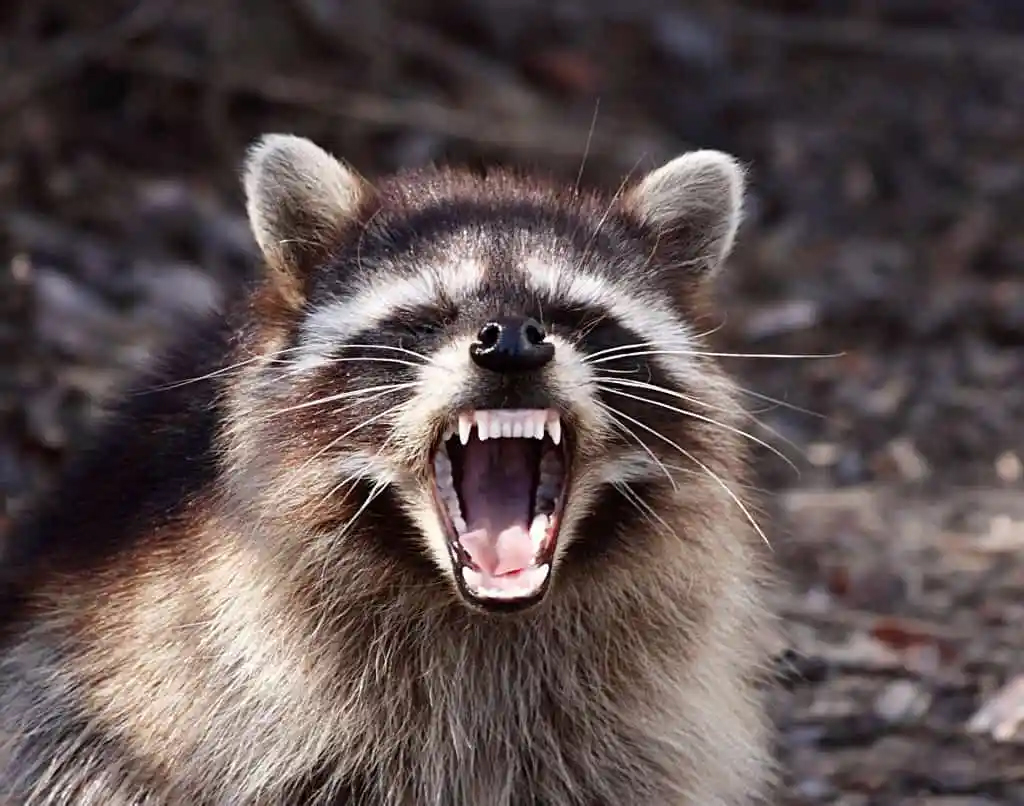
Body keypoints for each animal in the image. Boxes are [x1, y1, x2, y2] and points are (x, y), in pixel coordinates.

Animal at [0, 134, 778, 805]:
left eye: (577, 317)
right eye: (424, 320)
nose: (513, 342)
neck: (481, 612)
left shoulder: (637, 718)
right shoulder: (225, 684)